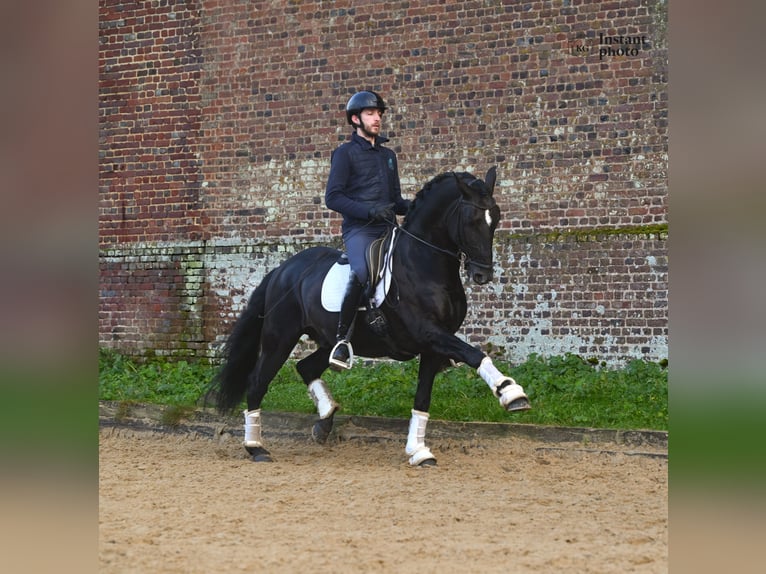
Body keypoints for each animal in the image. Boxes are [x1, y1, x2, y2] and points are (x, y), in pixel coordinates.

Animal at [210, 168, 536, 468]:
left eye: (496, 218)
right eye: (471, 221)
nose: (483, 274)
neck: (425, 264)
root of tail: (282, 270)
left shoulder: (433, 346)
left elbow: (423, 398)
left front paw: (418, 451)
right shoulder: (430, 333)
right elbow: (474, 354)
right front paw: (511, 393)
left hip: (327, 340)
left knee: (305, 367)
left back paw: (325, 419)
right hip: (280, 338)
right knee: (257, 383)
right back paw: (256, 447)